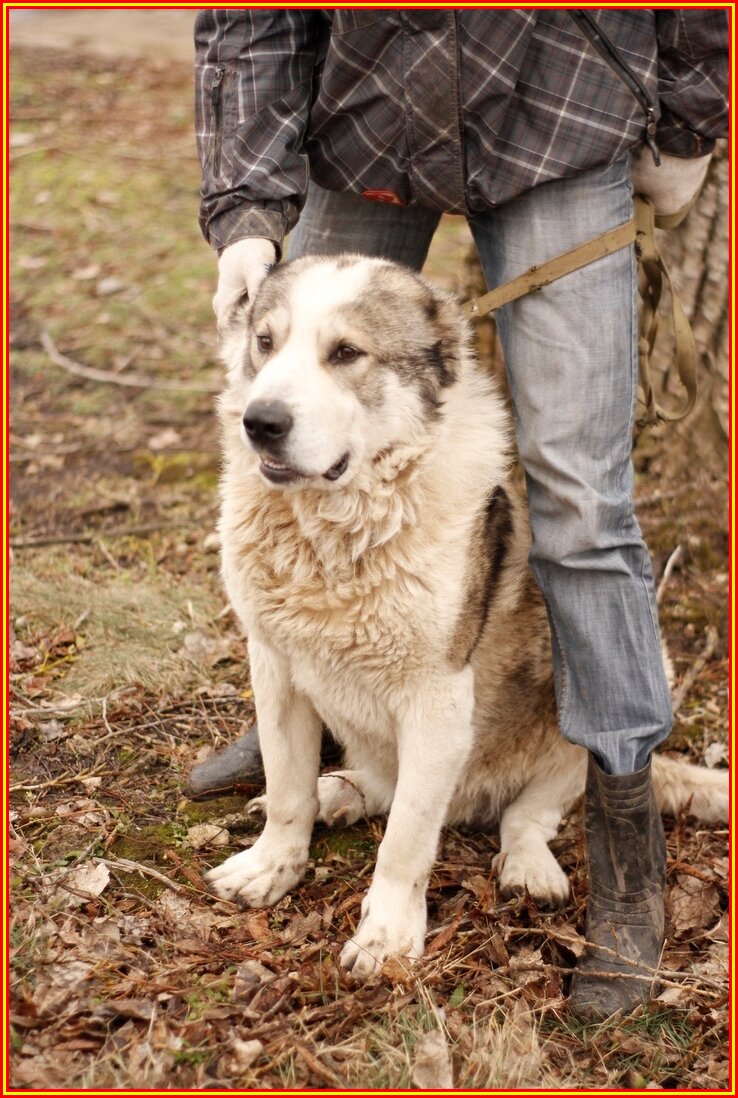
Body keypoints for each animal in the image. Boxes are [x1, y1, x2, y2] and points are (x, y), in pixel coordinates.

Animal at [204, 254, 729, 979]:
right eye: (265, 343)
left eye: (346, 353)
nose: (260, 422)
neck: (336, 534)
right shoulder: (275, 668)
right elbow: (286, 789)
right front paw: (273, 866)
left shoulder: (437, 701)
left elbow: (406, 840)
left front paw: (388, 935)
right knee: (380, 786)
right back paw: (340, 793)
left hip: (616, 693)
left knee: (528, 814)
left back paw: (530, 866)